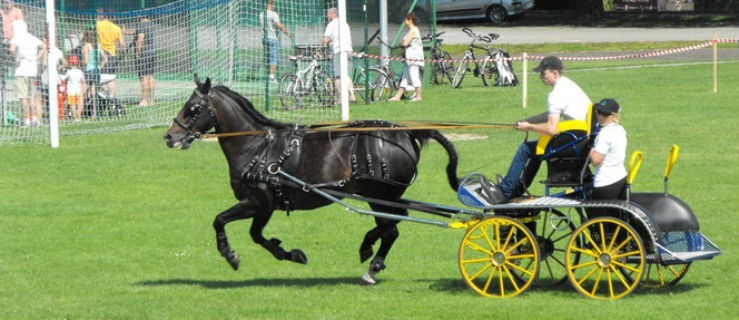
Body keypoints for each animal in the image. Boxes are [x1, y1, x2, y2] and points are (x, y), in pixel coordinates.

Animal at [165, 76, 460, 284]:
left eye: (192, 108)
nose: (169, 136)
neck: (256, 146)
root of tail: (406, 133)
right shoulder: (264, 205)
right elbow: (251, 233)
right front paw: (286, 252)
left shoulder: (259, 202)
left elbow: (231, 225)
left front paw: (233, 255)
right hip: (385, 197)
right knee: (397, 219)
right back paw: (367, 246)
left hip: (381, 197)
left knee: (391, 229)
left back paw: (372, 266)